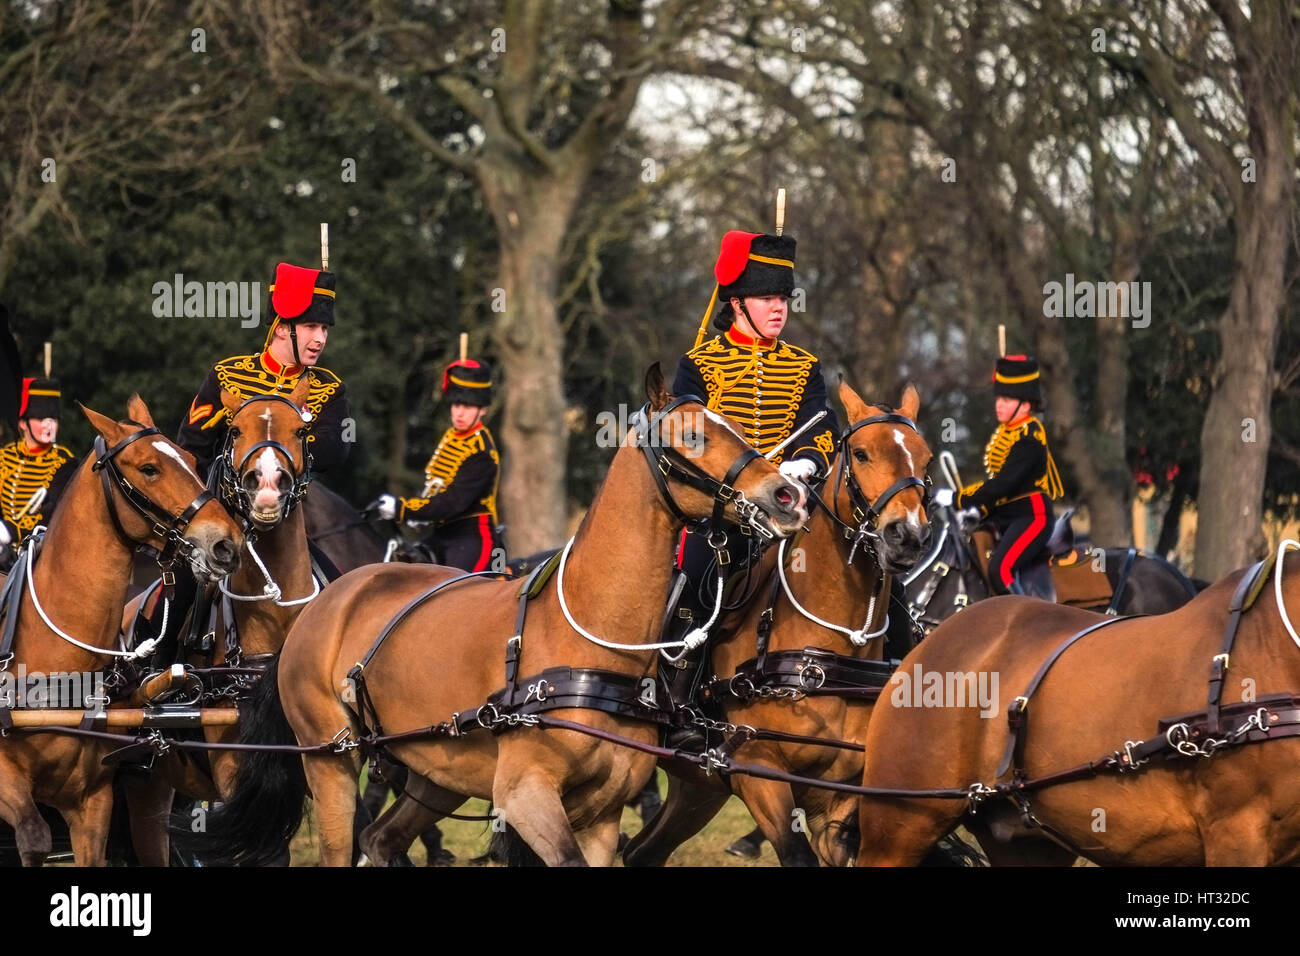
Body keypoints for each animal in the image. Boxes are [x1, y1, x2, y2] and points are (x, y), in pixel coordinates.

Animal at [0, 395, 244, 868]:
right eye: (149, 468)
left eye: (190, 460)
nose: (227, 542)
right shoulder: (8, 781)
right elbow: (34, 838)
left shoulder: (92, 802)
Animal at [198, 366, 811, 868]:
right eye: (693, 435)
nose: (786, 495)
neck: (592, 639)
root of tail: (325, 600)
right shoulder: (525, 795)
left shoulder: (602, 816)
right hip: (332, 763)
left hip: (436, 773)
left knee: (380, 838)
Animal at [621, 382, 935, 868]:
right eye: (862, 453)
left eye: (926, 460)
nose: (908, 537)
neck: (829, 651)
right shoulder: (759, 770)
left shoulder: (841, 795)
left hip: (698, 787)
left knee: (642, 852)